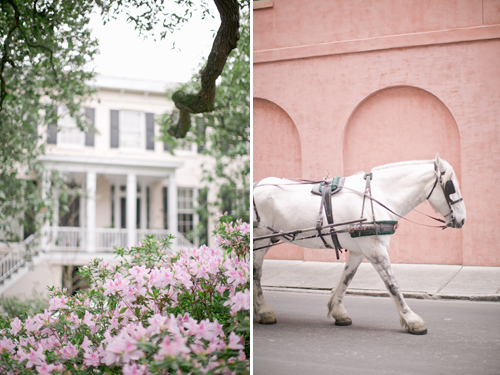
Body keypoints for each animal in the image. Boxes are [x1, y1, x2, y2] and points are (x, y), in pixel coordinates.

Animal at [256, 154, 466, 336]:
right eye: (450, 186)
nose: (463, 219)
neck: (378, 196)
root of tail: (257, 185)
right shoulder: (376, 250)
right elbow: (392, 284)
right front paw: (412, 320)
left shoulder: (359, 250)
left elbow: (346, 279)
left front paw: (338, 312)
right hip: (261, 239)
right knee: (256, 272)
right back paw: (264, 311)